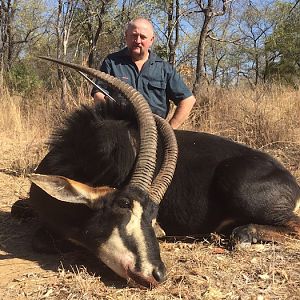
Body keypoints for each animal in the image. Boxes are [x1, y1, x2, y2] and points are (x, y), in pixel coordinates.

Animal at [10, 56, 298, 288]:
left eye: (153, 216)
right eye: (123, 204)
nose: (157, 274)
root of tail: (289, 179)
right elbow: (18, 210)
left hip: (239, 188)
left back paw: (245, 234)